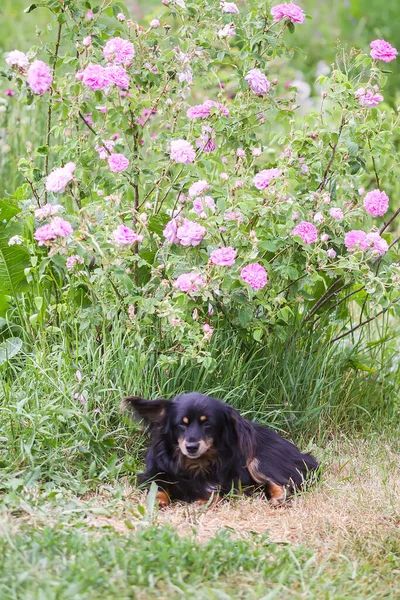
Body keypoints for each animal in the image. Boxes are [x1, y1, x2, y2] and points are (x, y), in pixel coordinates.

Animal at [122, 392, 318, 508]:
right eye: (181, 424)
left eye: (207, 424)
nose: (191, 447)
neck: (194, 464)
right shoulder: (153, 473)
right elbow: (157, 485)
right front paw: (157, 499)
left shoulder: (229, 483)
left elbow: (214, 493)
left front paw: (202, 500)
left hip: (258, 460)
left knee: (283, 482)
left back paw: (278, 497)